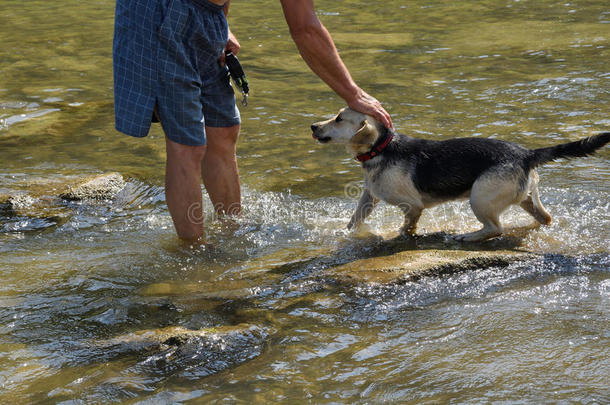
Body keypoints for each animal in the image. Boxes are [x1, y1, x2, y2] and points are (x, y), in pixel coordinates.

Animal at [312, 107, 604, 240]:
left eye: (339, 119)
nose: (313, 126)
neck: (380, 148)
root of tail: (525, 153)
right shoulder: (369, 197)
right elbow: (354, 220)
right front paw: (343, 233)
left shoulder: (412, 207)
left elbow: (407, 226)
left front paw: (400, 235)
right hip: (527, 198)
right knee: (545, 217)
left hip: (480, 197)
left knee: (495, 228)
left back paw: (468, 235)